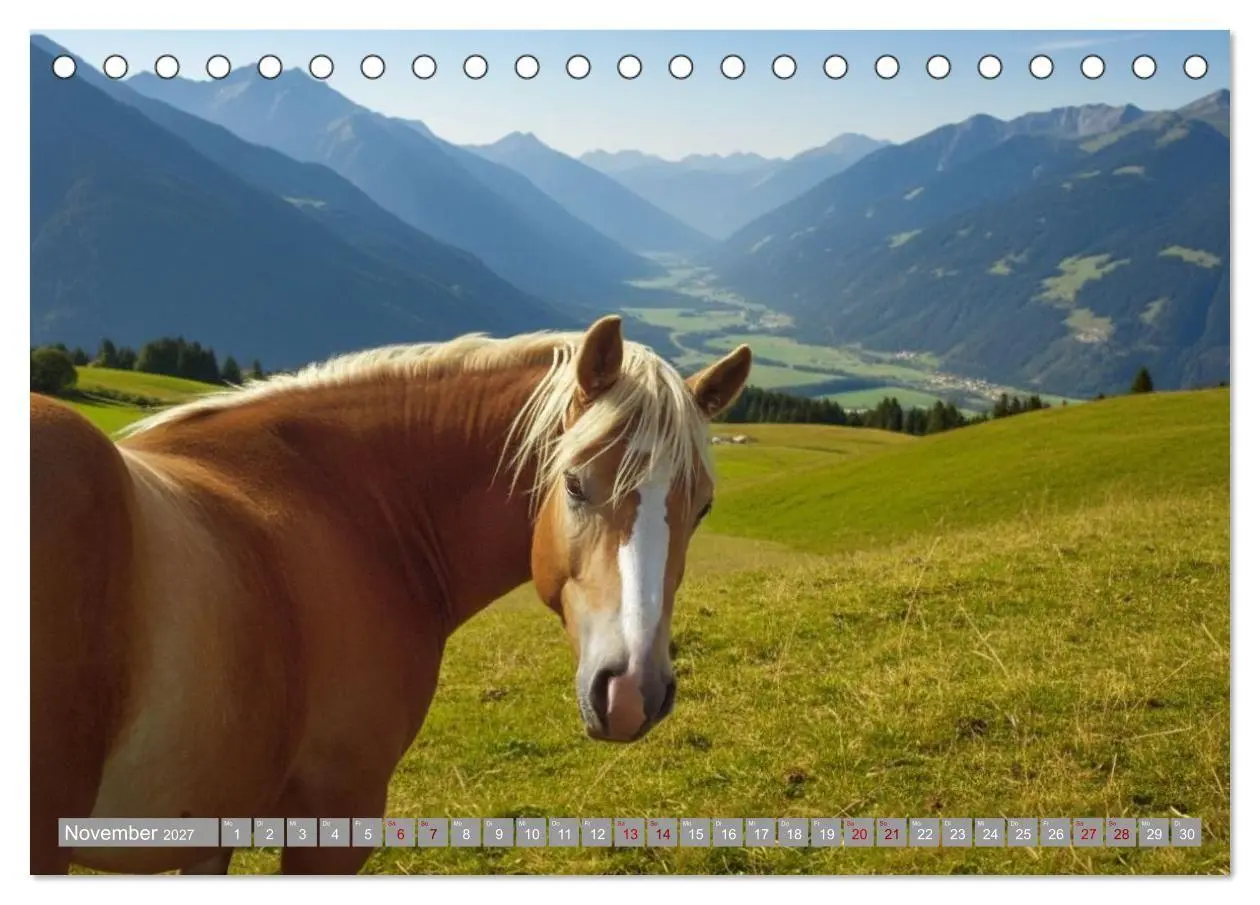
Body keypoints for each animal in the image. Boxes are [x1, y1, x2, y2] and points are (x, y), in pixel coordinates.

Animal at [30, 315, 751, 875]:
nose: (633, 692)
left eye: (704, 508)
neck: (344, 501)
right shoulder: (333, 822)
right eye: (574, 483)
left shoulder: (212, 828)